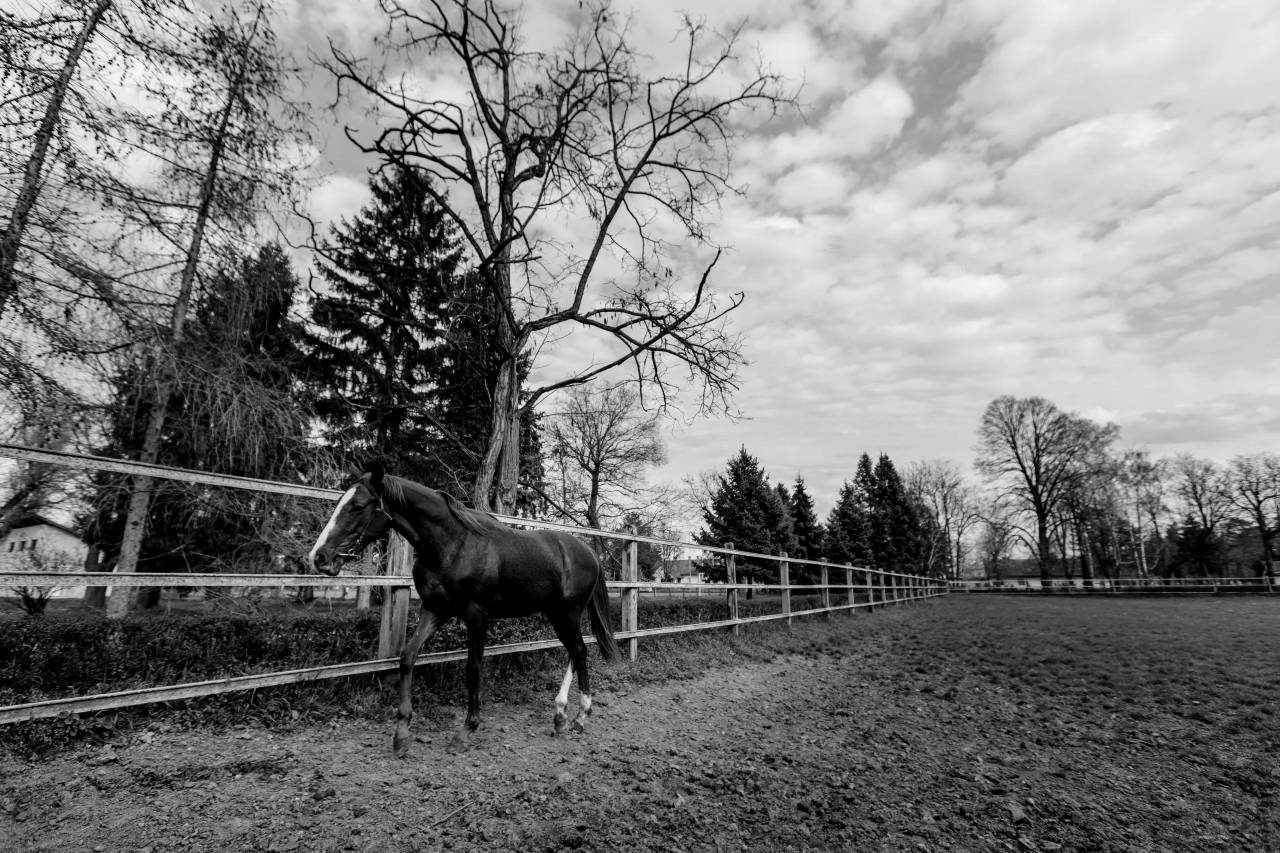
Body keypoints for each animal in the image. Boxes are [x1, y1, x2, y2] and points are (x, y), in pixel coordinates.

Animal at [307, 463, 619, 756]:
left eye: (358, 506)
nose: (319, 557)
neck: (453, 546)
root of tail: (589, 553)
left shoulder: (477, 615)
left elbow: (473, 667)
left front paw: (466, 730)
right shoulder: (434, 611)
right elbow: (407, 657)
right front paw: (401, 734)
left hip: (568, 614)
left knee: (579, 651)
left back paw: (580, 717)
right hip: (556, 614)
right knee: (575, 652)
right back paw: (560, 716)